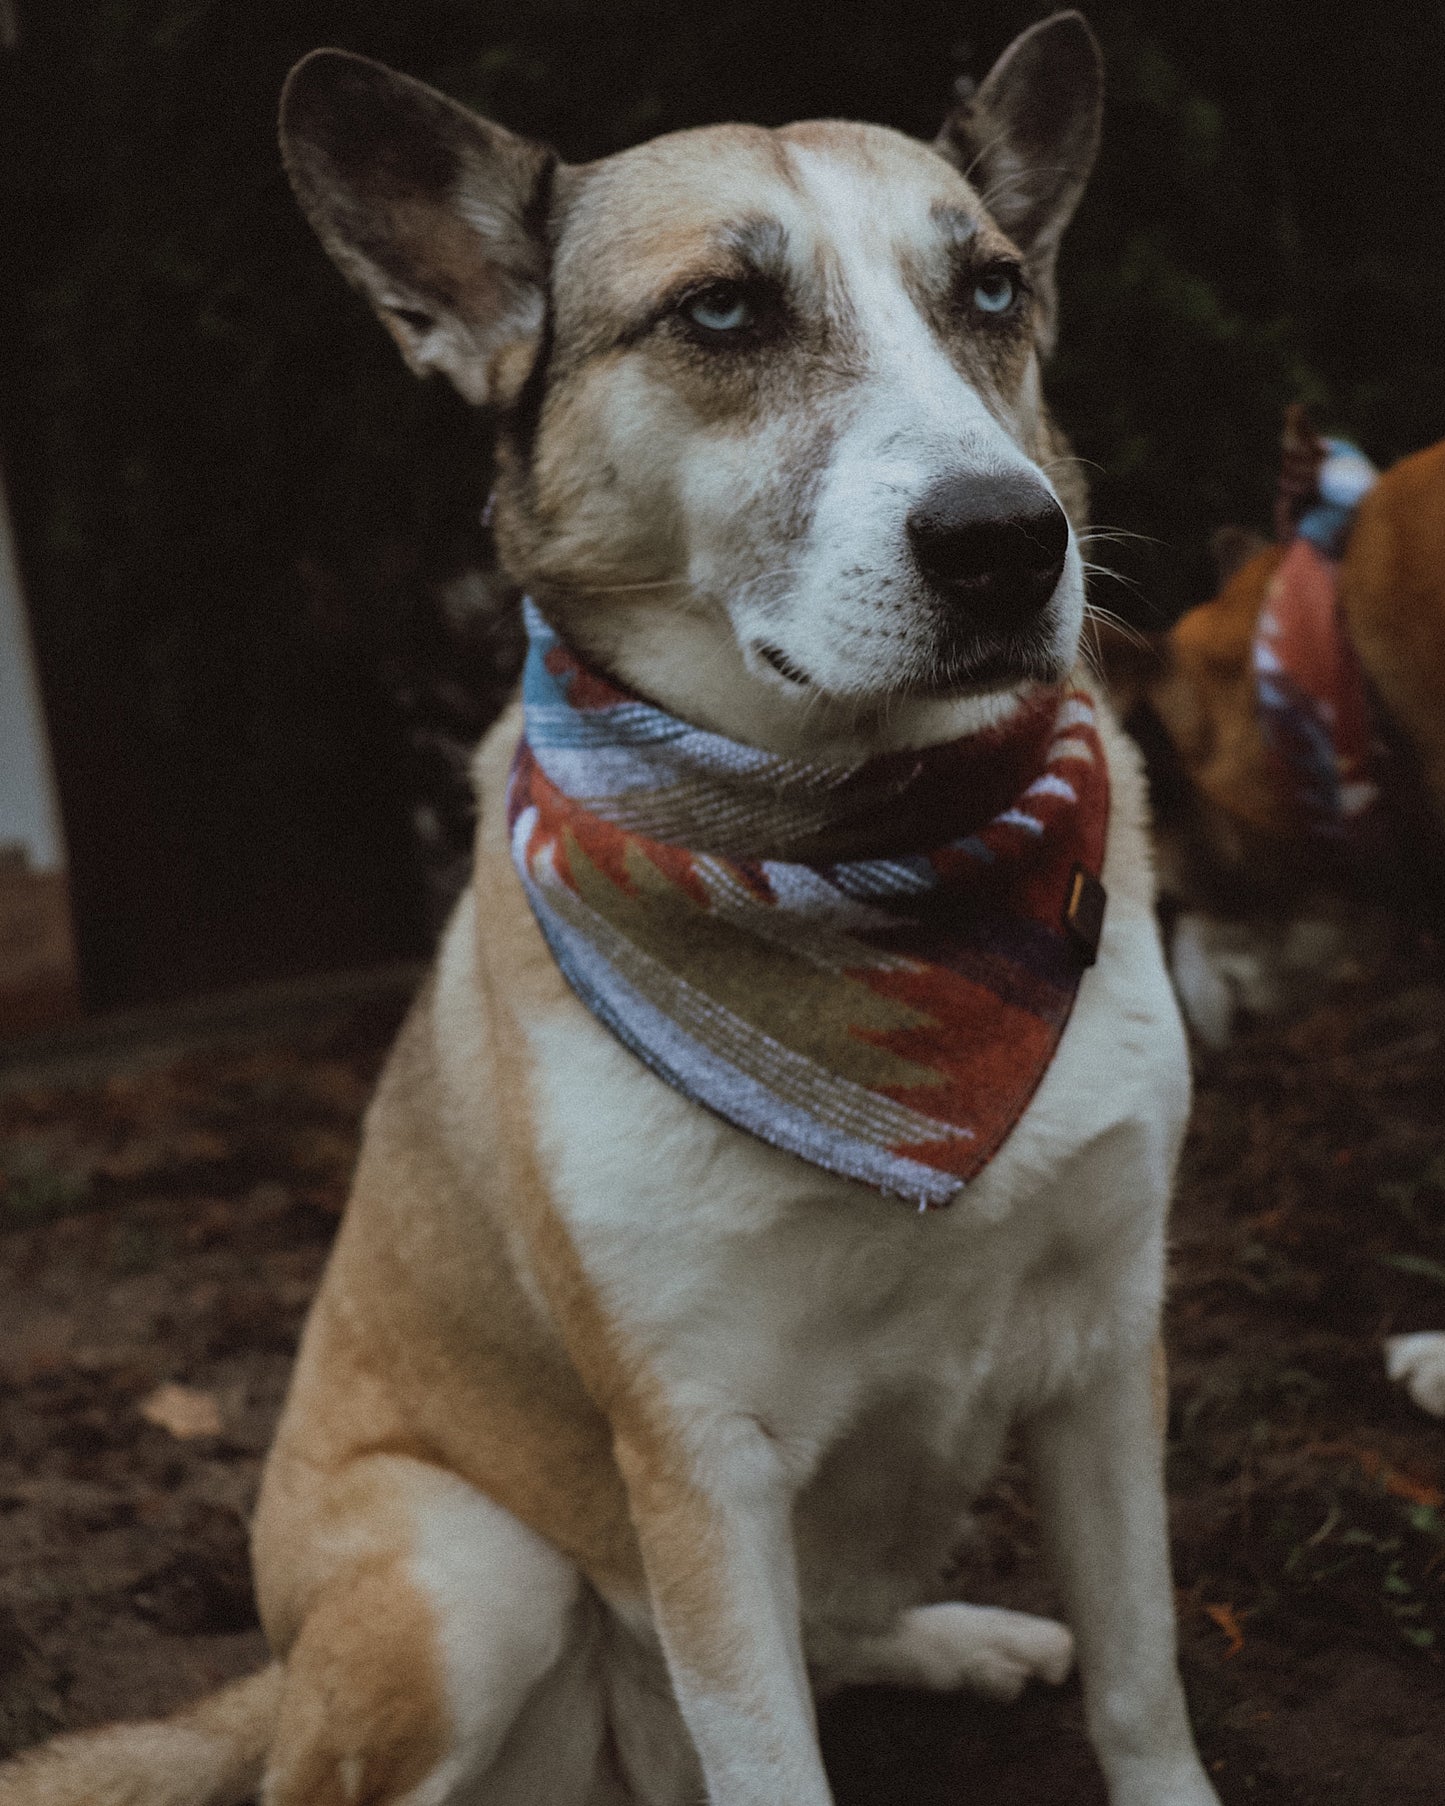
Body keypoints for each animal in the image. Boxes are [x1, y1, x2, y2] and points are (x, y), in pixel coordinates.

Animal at [0, 17, 1228, 1806]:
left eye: (993, 289)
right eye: (721, 312)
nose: (1008, 541)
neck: (865, 855)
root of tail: (277, 1684)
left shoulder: (1104, 1354)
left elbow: (1143, 1686)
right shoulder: (696, 1460)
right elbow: (773, 1756)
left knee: (840, 1634)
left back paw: (953, 1636)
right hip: (466, 1573)